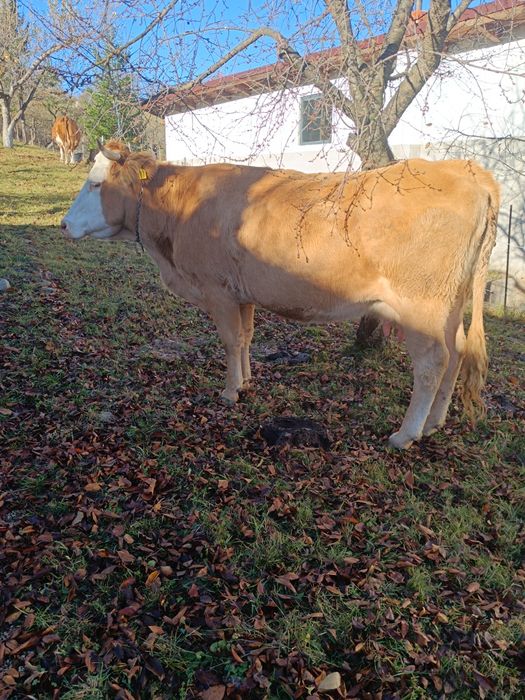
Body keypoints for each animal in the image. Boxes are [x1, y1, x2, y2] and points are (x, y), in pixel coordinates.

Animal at [60, 141, 499, 449]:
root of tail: (465, 168)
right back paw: (435, 422)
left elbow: (230, 339)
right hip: (449, 304)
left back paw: (406, 434)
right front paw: (247, 380)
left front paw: (230, 391)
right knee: (457, 352)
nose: (63, 224)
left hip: (421, 305)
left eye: (95, 184)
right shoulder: (243, 294)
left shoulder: (218, 291)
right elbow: (246, 338)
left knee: (432, 363)